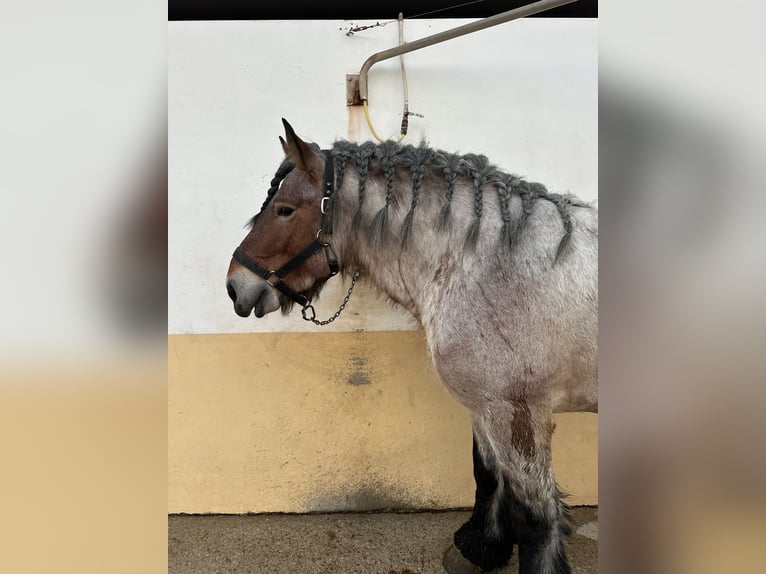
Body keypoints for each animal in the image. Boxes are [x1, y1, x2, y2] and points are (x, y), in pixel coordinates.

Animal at [225, 119, 598, 574]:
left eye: (284, 210)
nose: (235, 286)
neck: (487, 264)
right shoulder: (484, 407)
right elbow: (487, 475)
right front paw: (481, 547)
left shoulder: (516, 415)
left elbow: (536, 516)